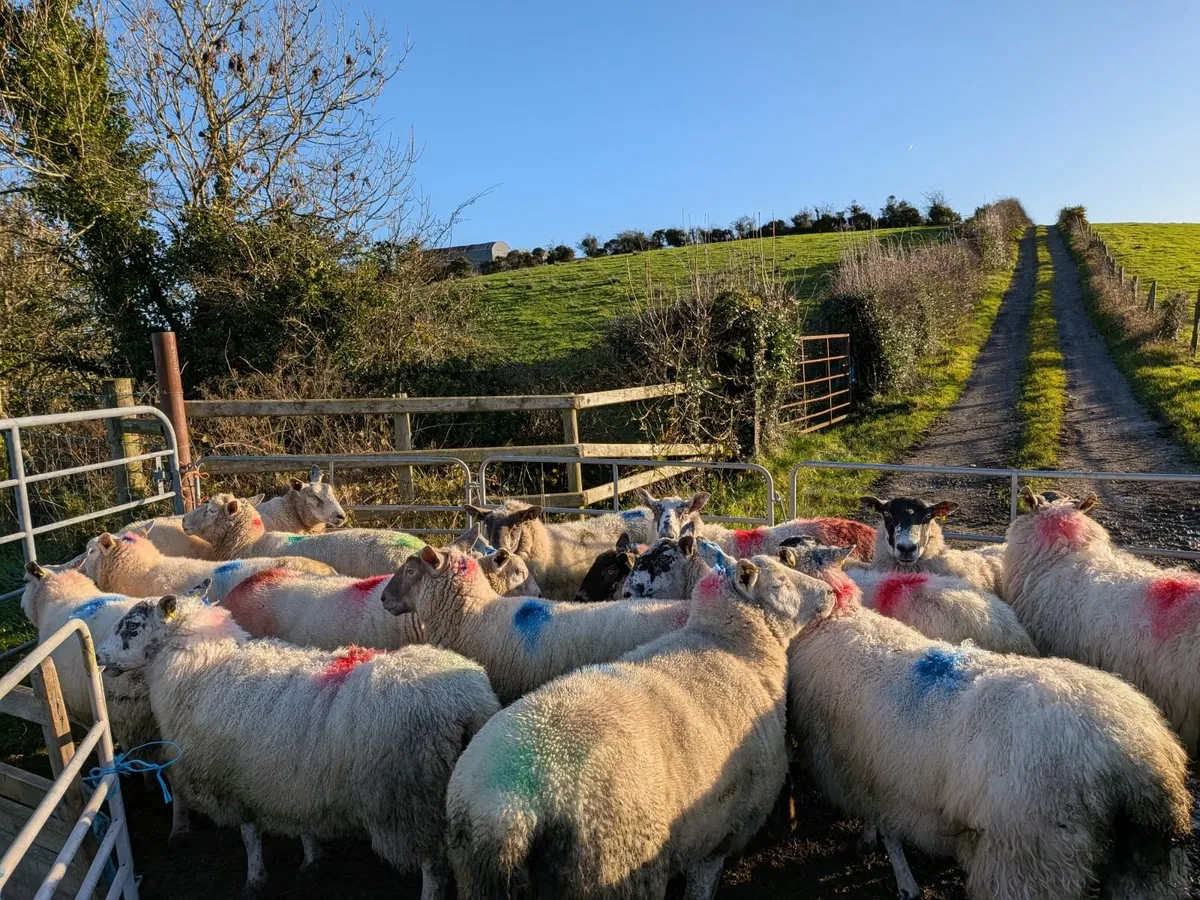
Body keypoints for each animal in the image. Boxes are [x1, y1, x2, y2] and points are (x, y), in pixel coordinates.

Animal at [97, 594, 500, 898]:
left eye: (131, 627)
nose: (99, 655)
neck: (200, 670)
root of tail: (466, 703)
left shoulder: (234, 783)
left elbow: (250, 837)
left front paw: (254, 880)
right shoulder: (294, 779)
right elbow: (303, 824)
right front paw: (310, 859)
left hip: (411, 799)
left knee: (434, 866)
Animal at [445, 554, 835, 899]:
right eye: (779, 582)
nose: (830, 592)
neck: (731, 647)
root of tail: (508, 812)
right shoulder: (720, 831)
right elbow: (702, 888)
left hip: (479, 875)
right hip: (613, 869)